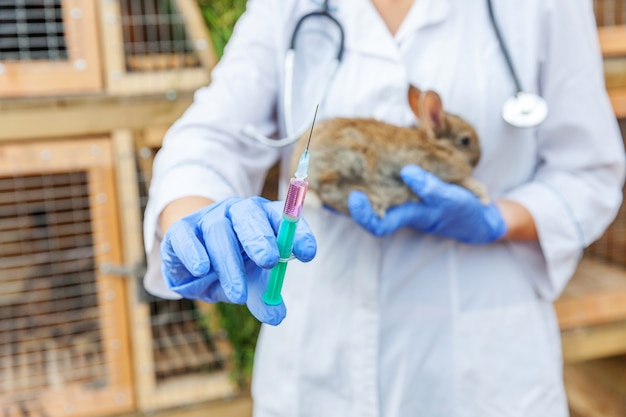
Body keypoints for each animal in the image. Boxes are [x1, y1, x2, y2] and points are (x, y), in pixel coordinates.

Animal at [290, 83, 490, 216]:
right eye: (465, 141)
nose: (480, 157)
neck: (439, 145)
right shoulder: (441, 171)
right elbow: (464, 183)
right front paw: (484, 197)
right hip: (356, 159)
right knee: (330, 187)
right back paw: (375, 203)